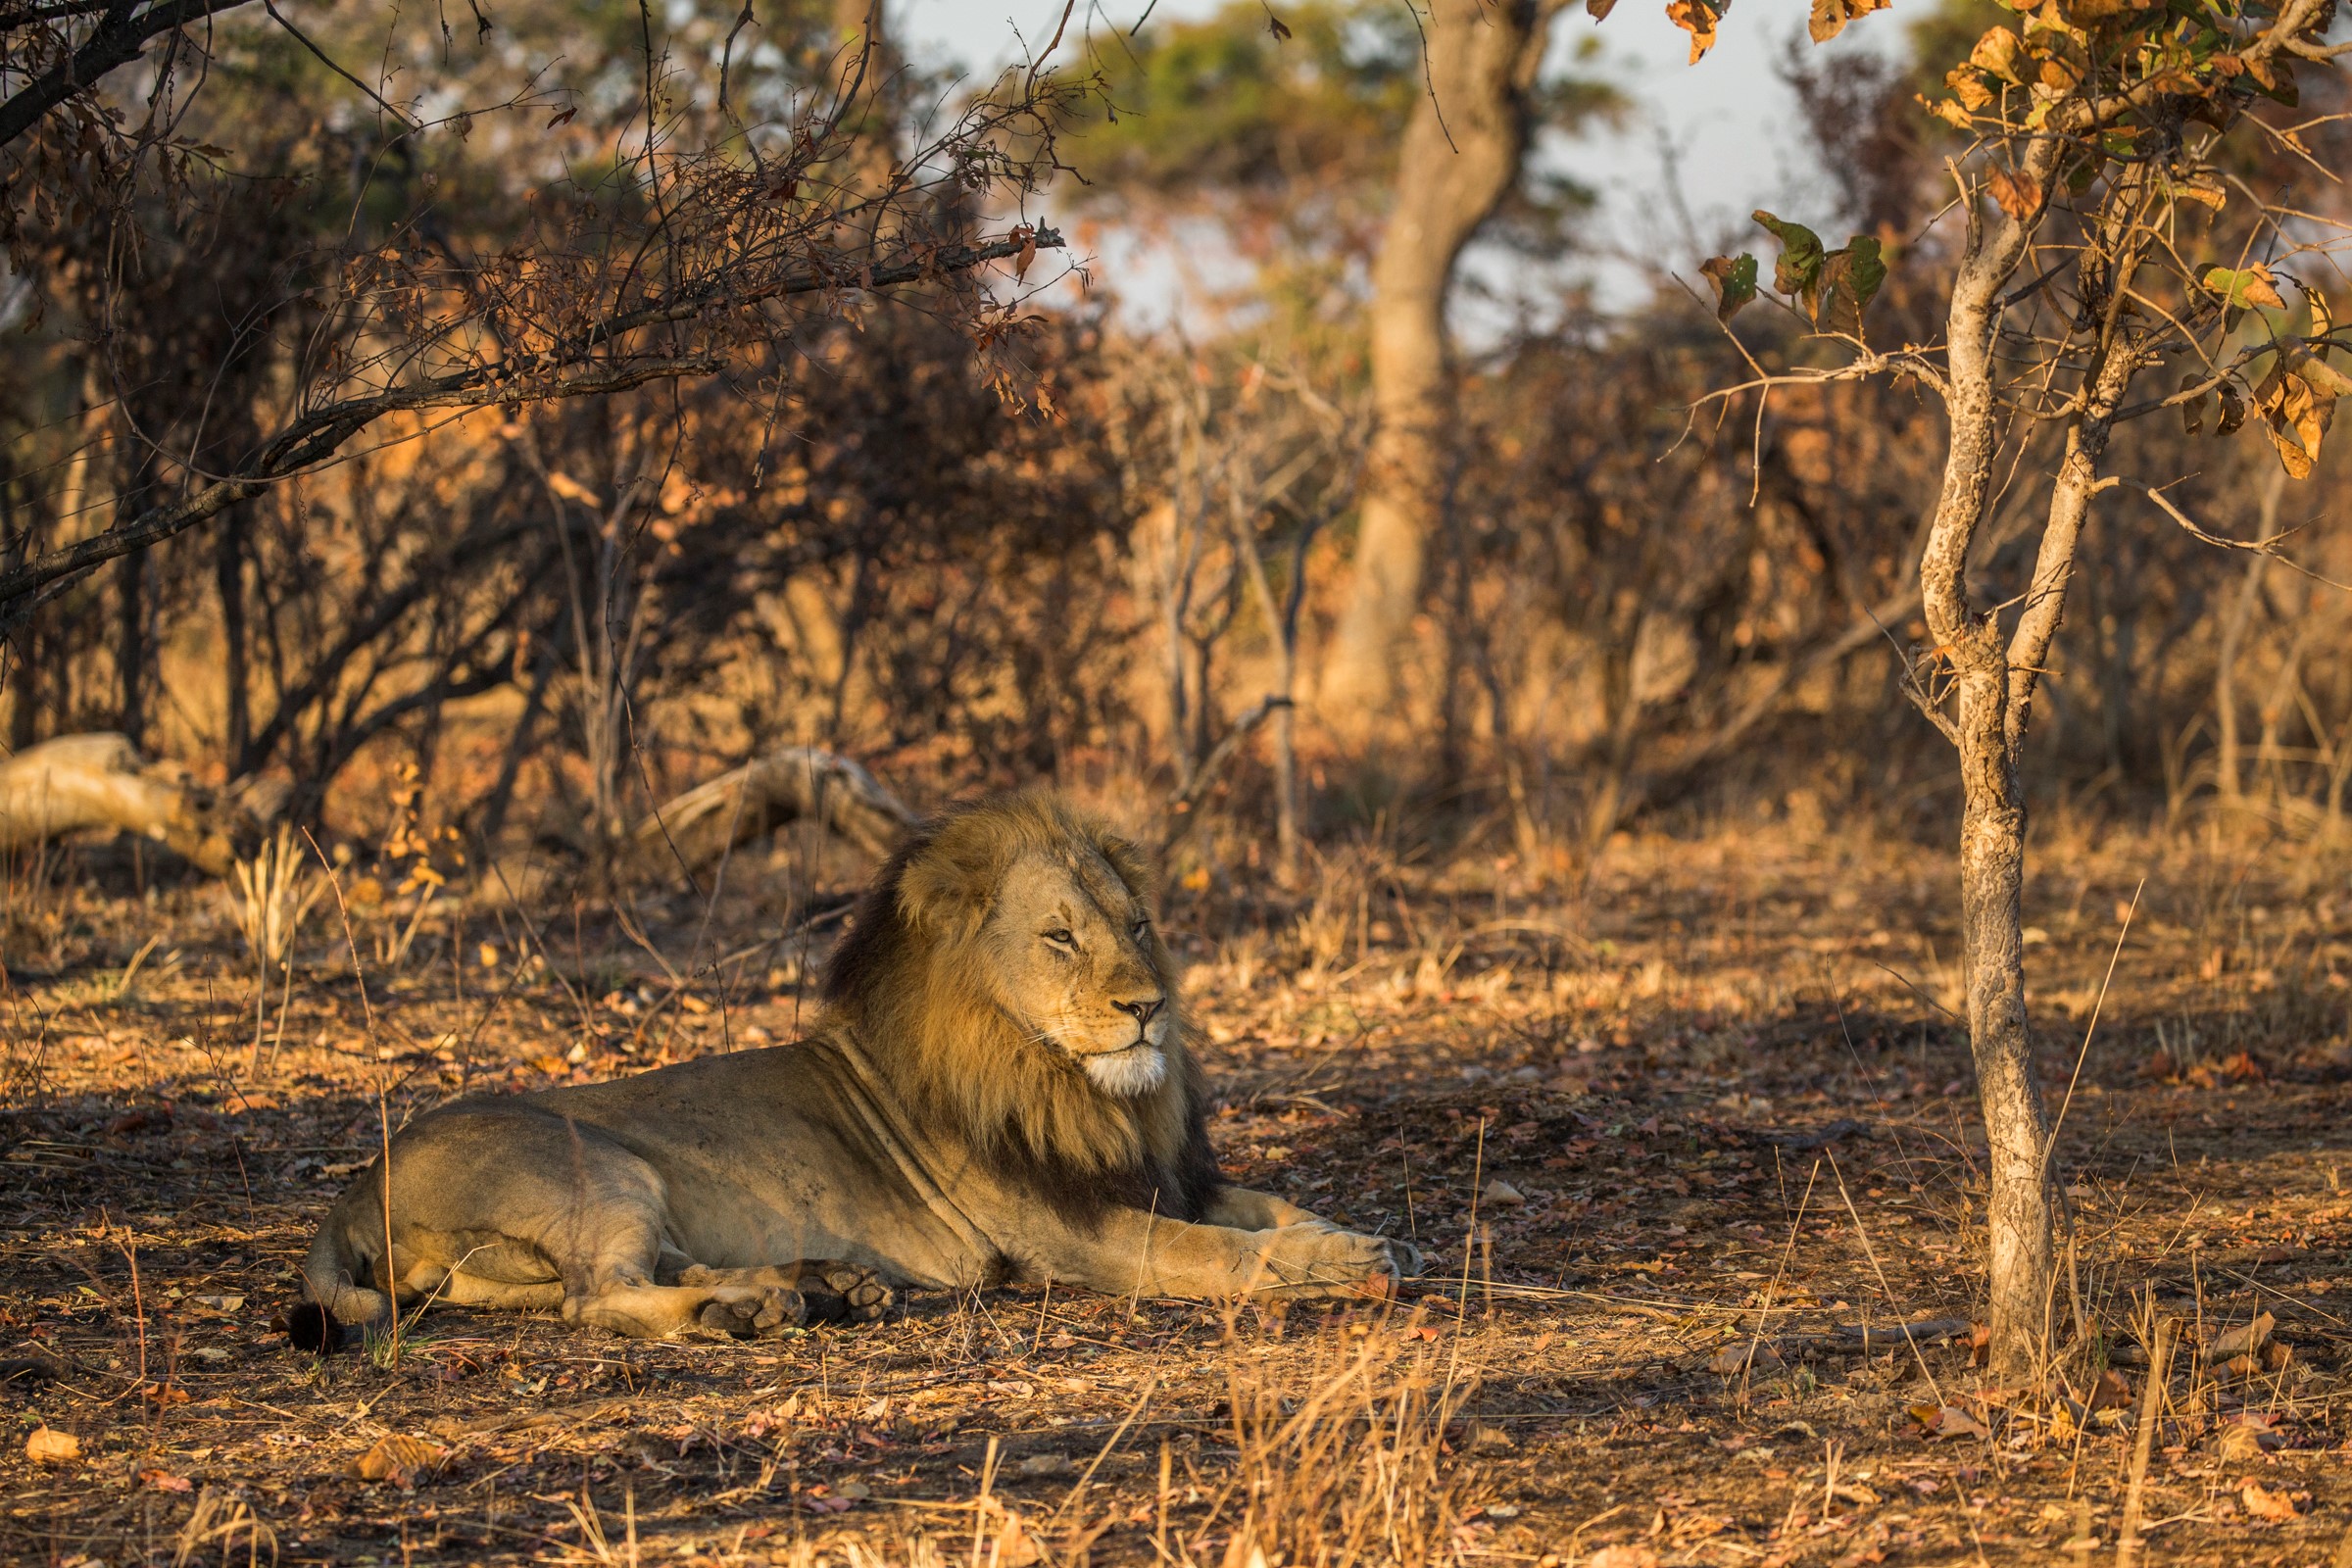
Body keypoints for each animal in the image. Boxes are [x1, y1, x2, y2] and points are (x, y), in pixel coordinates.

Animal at [297, 792, 1422, 1342]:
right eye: (1061, 937)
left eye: (1137, 924)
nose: (1149, 1006)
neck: (1084, 1092)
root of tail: (356, 1184)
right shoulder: (1071, 1228)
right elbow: (1216, 1254)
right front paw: (1331, 1266)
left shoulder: (1165, 1176)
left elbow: (1271, 1207)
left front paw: (1360, 1240)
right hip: (602, 1165)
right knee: (597, 1297)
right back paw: (739, 1313)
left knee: (598, 1277)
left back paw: (815, 1287)